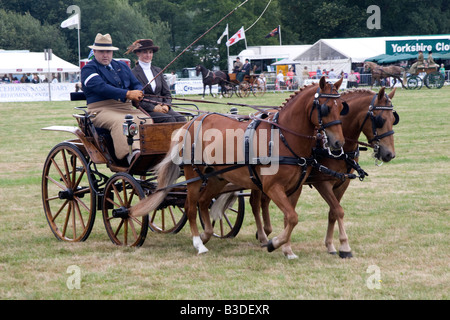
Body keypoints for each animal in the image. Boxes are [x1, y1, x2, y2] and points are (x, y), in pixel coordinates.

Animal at [130, 76, 348, 258]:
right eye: (326, 108)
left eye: (341, 108)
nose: (338, 143)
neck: (283, 138)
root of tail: (191, 122)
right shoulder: (272, 187)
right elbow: (293, 217)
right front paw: (273, 243)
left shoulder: (295, 188)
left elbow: (290, 218)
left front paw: (286, 249)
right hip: (194, 175)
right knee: (191, 207)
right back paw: (198, 243)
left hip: (217, 177)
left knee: (203, 202)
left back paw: (206, 234)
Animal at [213, 87, 400, 258]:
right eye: (380, 119)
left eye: (394, 119)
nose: (389, 154)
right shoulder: (321, 182)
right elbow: (337, 210)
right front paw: (344, 246)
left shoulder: (342, 182)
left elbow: (333, 212)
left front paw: (331, 245)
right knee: (255, 203)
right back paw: (264, 236)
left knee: (262, 201)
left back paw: (266, 232)